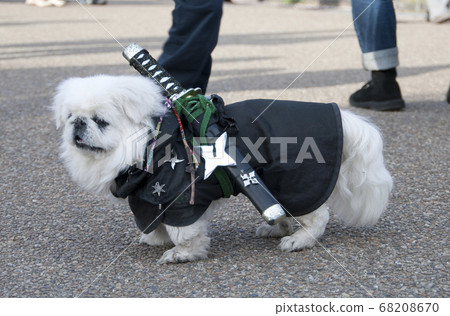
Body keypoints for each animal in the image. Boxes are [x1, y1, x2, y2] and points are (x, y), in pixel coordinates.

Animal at [51, 74, 390, 264]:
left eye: (100, 121)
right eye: (70, 116)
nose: (78, 124)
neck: (150, 142)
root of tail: (340, 115)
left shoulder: (178, 198)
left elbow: (185, 233)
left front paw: (182, 254)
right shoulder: (146, 199)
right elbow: (152, 225)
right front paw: (156, 239)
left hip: (294, 182)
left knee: (317, 216)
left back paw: (299, 240)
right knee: (280, 212)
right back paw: (275, 228)